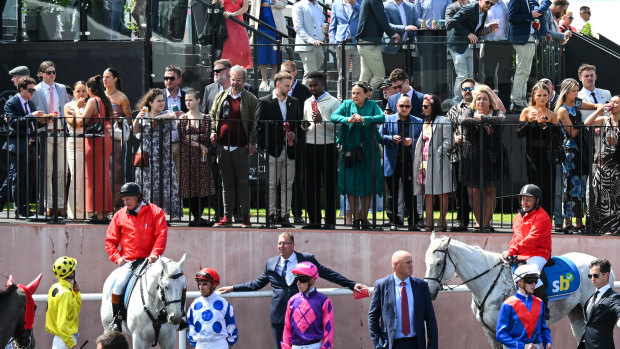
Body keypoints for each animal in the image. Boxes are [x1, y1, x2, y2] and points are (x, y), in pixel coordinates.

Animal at [426, 232, 612, 346]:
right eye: (425, 261)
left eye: (439, 263)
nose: (429, 291)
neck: (490, 281)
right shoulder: (490, 333)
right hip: (576, 312)